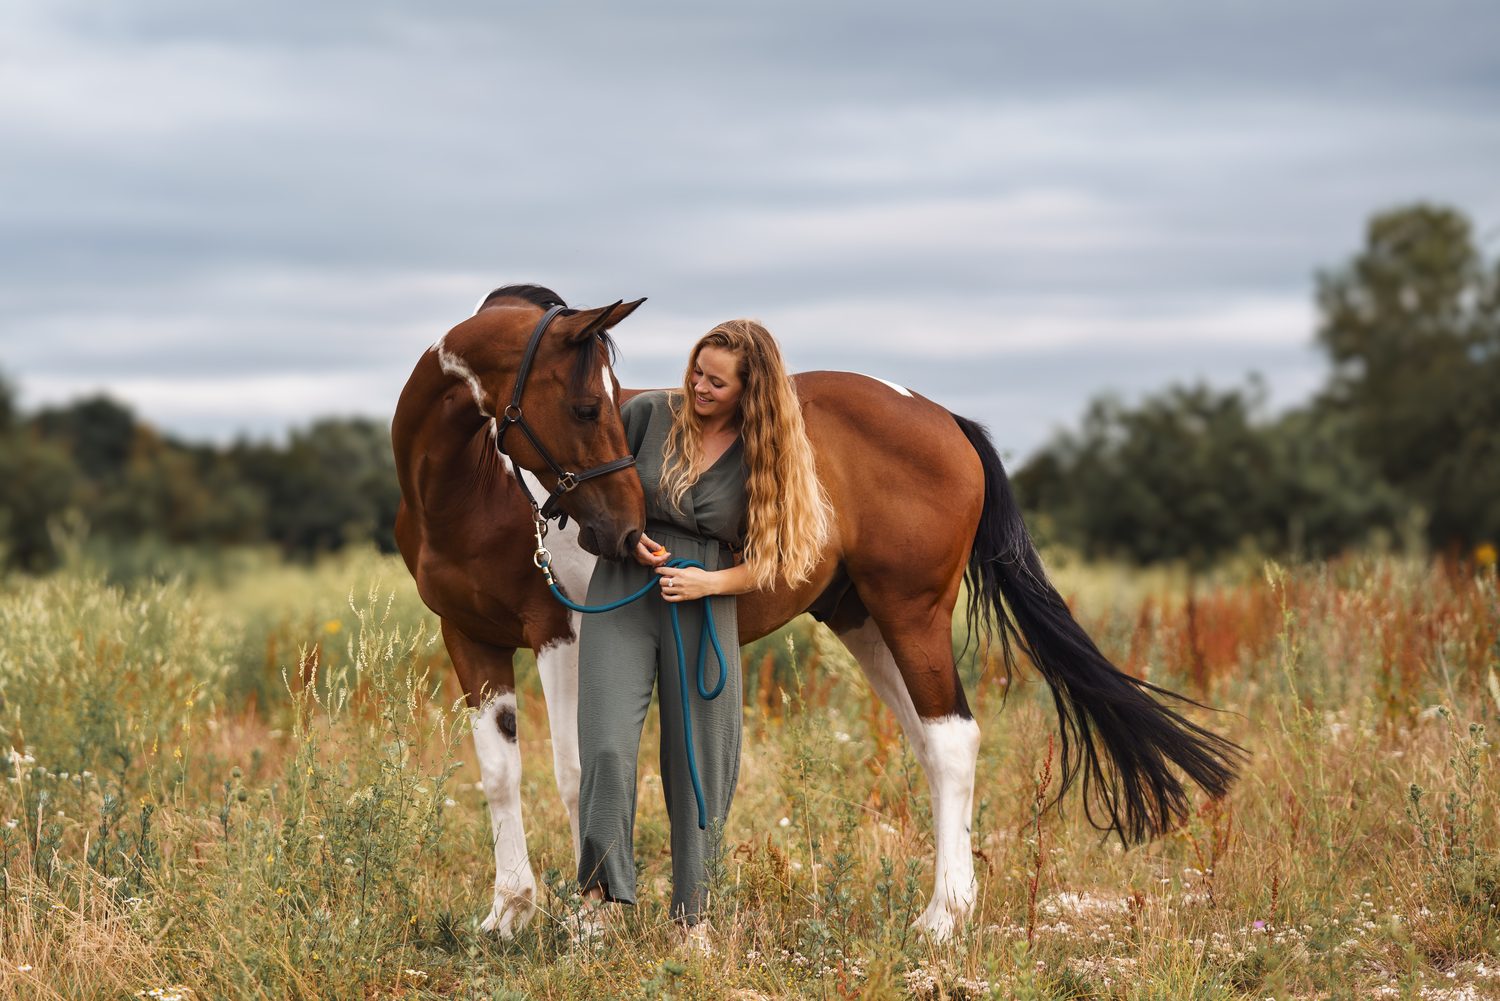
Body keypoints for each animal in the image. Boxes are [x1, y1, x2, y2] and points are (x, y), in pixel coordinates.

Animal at [392, 284, 1243, 940]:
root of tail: (942, 417)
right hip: (864, 619)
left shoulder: (561, 635)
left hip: (911, 612)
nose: (626, 531)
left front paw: (588, 919)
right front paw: (509, 913)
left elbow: (574, 772)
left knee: (953, 739)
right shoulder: (468, 639)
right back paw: (953, 904)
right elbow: (500, 773)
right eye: (579, 404)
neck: (470, 488)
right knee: (934, 745)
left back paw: (939, 920)